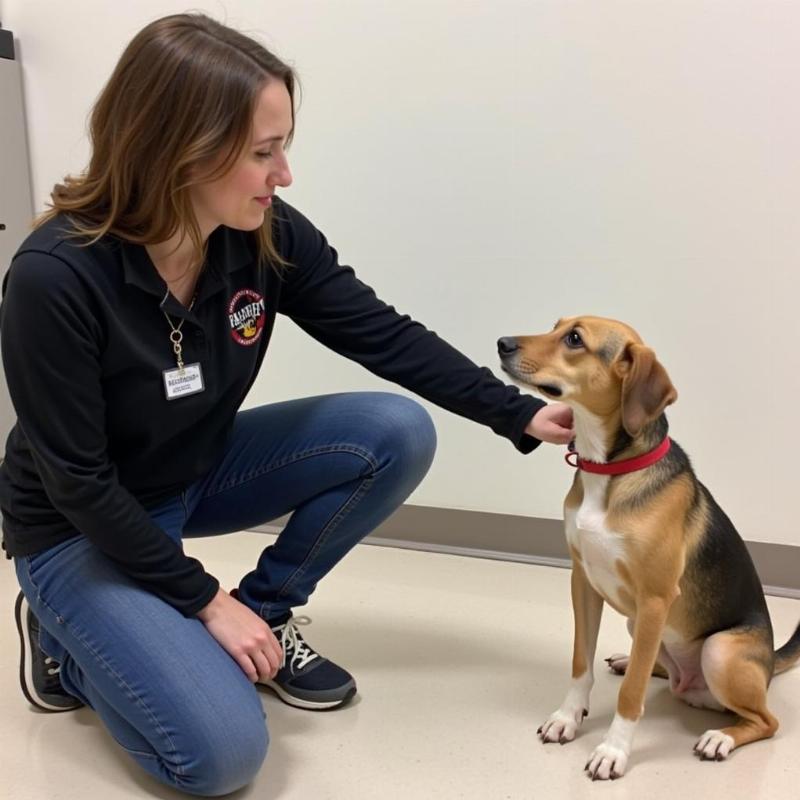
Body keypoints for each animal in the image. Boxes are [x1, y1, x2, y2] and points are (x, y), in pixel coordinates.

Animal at [496, 316, 796, 780]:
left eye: (574, 339)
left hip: (719, 651)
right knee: (656, 664)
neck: (610, 470)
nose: (502, 344)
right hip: (637, 622)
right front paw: (568, 718)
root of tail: (767, 665)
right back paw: (634, 661)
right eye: (556, 325)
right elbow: (580, 664)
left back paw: (720, 738)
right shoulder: (583, 582)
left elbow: (631, 695)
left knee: (765, 720)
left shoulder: (655, 598)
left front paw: (612, 751)